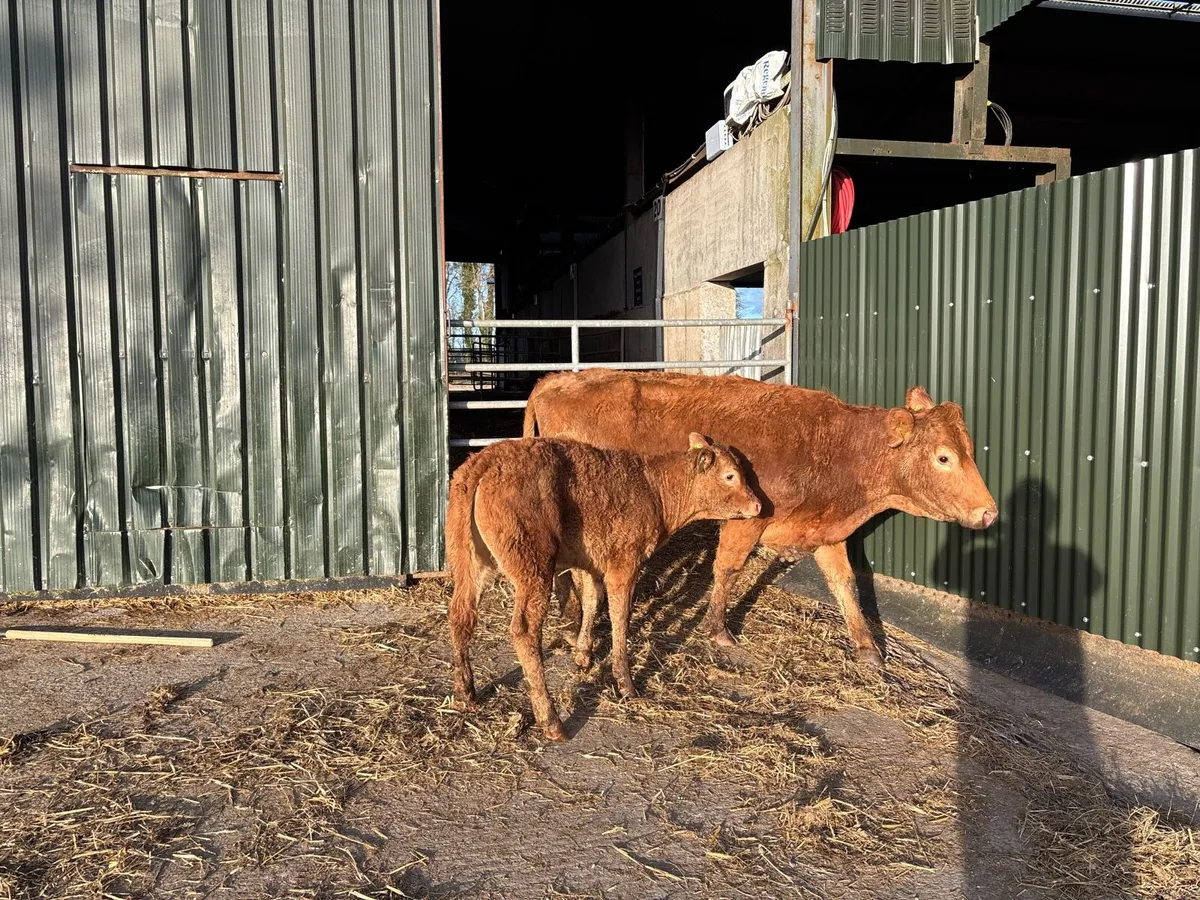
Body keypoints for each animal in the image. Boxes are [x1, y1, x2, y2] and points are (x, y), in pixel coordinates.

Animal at [445, 433, 762, 741]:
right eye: (730, 476)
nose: (758, 505)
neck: (654, 489)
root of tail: (486, 460)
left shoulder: (593, 563)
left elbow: (591, 600)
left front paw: (583, 654)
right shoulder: (625, 563)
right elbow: (619, 618)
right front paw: (626, 683)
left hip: (469, 560)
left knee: (461, 615)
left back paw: (465, 694)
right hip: (533, 565)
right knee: (524, 630)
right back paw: (551, 721)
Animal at [523, 370, 998, 667]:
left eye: (970, 449)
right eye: (944, 457)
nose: (989, 512)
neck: (835, 448)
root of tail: (555, 380)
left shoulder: (827, 531)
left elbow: (844, 583)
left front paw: (867, 647)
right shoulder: (745, 519)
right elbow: (727, 568)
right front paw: (717, 629)